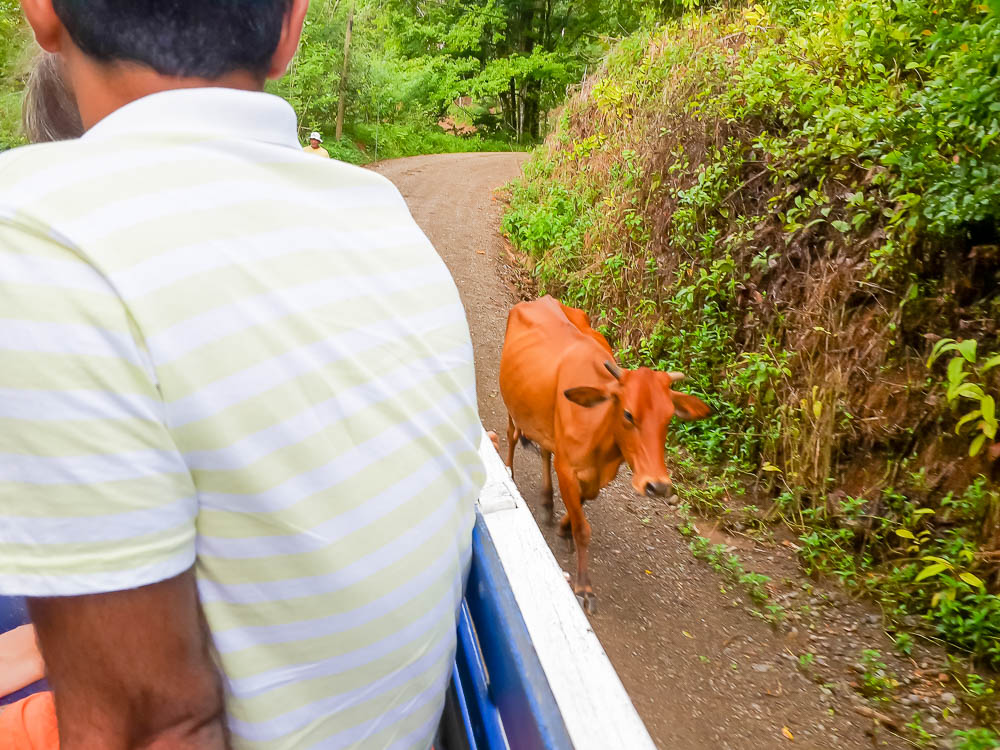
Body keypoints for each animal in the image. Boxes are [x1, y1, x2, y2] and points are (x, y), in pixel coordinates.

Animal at [499, 296, 711, 612]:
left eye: (669, 418)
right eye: (628, 414)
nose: (658, 485)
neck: (601, 436)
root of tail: (540, 299)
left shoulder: (599, 476)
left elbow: (583, 503)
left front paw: (563, 527)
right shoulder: (568, 468)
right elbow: (583, 528)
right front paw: (584, 586)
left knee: (545, 452)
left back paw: (547, 501)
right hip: (513, 407)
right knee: (512, 436)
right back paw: (510, 472)